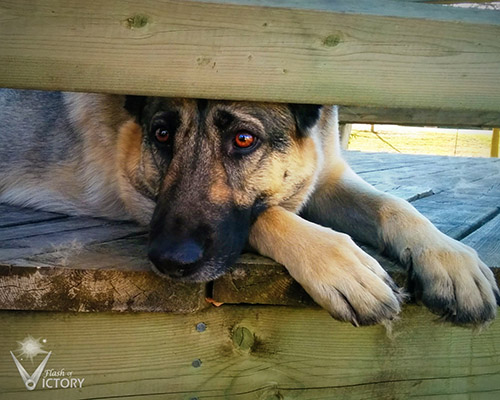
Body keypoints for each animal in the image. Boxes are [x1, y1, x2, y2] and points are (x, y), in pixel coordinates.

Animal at [0, 89, 498, 326]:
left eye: (243, 139)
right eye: (161, 134)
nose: (170, 261)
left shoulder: (328, 179)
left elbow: (393, 206)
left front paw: (449, 258)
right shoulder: (138, 195)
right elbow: (267, 213)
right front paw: (340, 264)